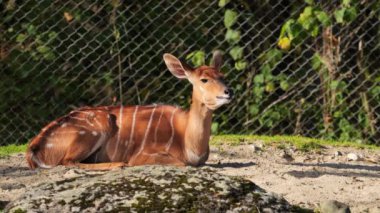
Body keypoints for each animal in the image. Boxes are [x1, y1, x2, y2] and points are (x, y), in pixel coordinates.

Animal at [26, 51, 232, 170]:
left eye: (222, 76)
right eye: (204, 79)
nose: (228, 92)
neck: (189, 144)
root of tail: (34, 149)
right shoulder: (143, 155)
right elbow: (181, 163)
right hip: (97, 127)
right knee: (68, 161)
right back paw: (119, 164)